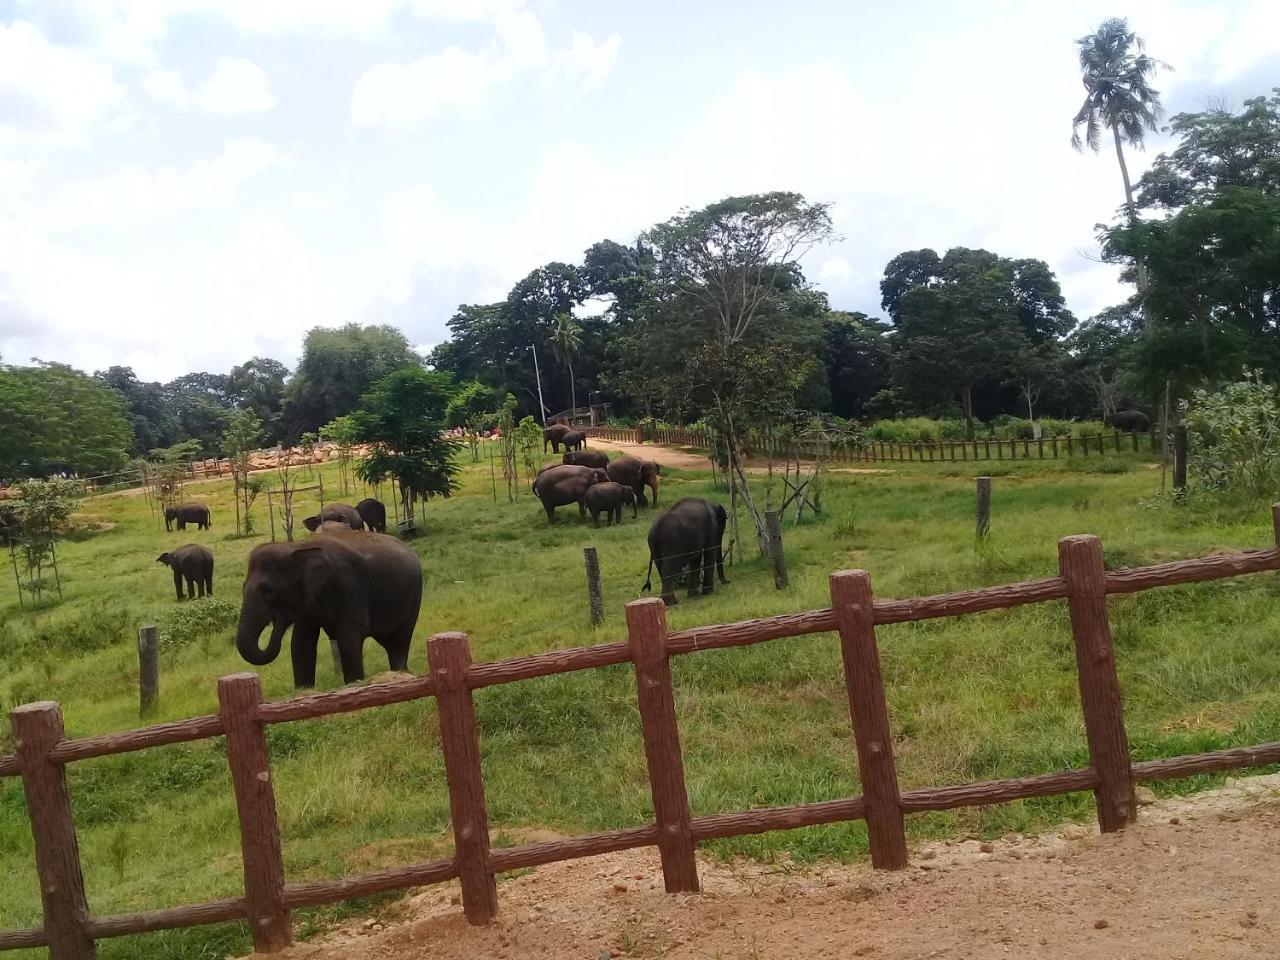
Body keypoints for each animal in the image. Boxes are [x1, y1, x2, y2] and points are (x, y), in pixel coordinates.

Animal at [232, 529, 422, 686]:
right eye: (242, 588)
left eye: (269, 591)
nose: (276, 618)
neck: (298, 547)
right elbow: (301, 643)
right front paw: (304, 690)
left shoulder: (350, 585)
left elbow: (350, 636)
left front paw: (354, 684)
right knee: (389, 641)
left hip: (414, 595)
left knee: (401, 639)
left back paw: (401, 673)